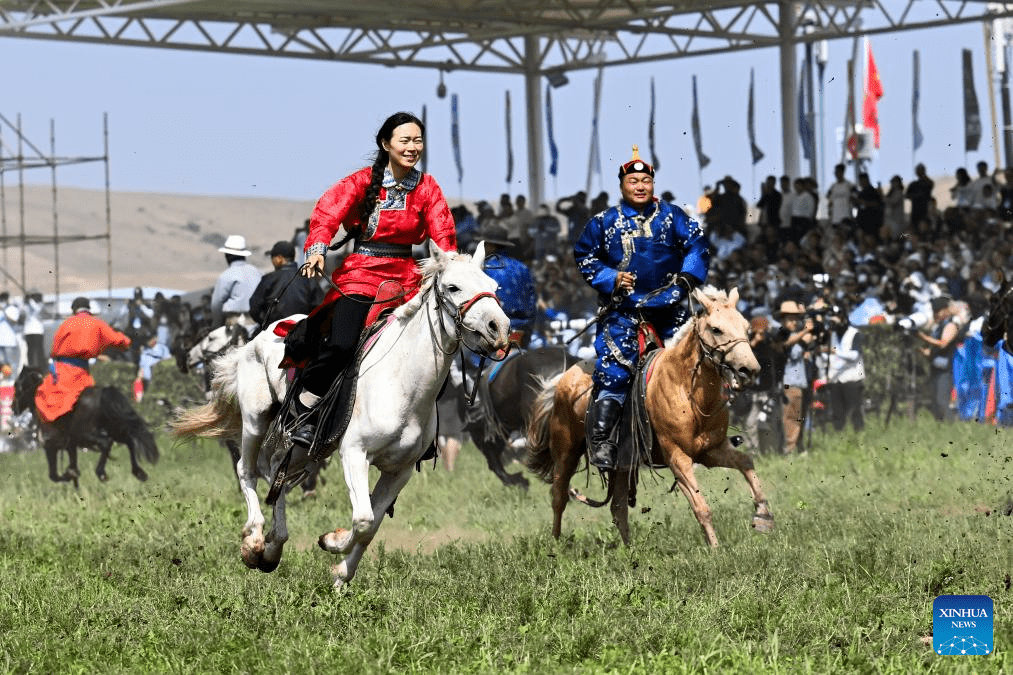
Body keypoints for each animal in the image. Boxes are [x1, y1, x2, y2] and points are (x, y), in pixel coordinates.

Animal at [12, 364, 159, 486]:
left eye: (17, 385)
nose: (13, 407)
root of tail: (103, 393)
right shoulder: (70, 446)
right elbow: (72, 466)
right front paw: (73, 476)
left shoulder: (51, 446)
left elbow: (54, 475)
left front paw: (69, 475)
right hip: (114, 428)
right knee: (129, 441)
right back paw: (139, 472)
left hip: (86, 434)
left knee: (106, 442)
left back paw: (101, 473)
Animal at [172, 243, 514, 587]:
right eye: (453, 287)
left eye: (494, 287)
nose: (499, 328)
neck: (402, 379)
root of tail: (258, 337)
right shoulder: (354, 453)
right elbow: (362, 519)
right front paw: (332, 542)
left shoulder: (400, 470)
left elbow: (371, 526)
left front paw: (341, 574)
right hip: (256, 420)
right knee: (247, 469)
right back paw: (254, 542)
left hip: (306, 448)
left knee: (277, 471)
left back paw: (273, 547)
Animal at [526, 285, 769, 547]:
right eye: (716, 329)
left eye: (746, 327)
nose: (749, 370)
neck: (686, 387)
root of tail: (563, 379)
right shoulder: (678, 457)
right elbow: (701, 507)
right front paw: (715, 548)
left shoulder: (711, 450)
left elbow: (746, 462)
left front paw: (763, 515)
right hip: (566, 452)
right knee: (559, 496)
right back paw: (556, 544)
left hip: (621, 464)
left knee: (617, 507)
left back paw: (628, 549)